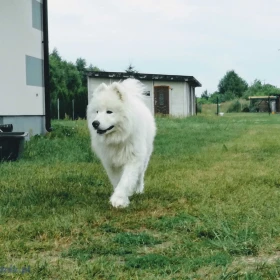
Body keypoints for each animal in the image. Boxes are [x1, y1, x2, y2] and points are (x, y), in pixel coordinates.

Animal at [87, 79, 156, 208]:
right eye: (97, 112)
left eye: (109, 112)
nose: (95, 123)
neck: (117, 139)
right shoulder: (110, 163)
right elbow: (117, 180)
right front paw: (120, 195)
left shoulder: (133, 159)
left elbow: (126, 180)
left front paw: (118, 200)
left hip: (144, 158)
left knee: (140, 176)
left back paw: (139, 190)